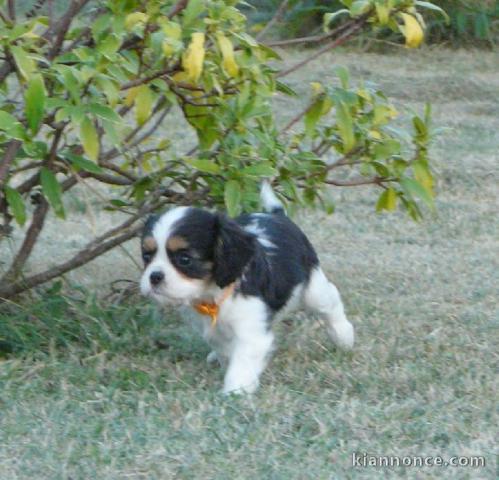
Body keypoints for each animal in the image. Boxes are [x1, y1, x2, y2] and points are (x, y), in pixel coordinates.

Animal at [139, 184, 354, 394]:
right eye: (147, 256)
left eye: (184, 259)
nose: (154, 276)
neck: (214, 296)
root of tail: (277, 215)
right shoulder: (215, 331)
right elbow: (226, 350)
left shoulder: (251, 330)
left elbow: (242, 362)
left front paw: (235, 391)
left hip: (313, 290)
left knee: (330, 302)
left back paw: (343, 336)